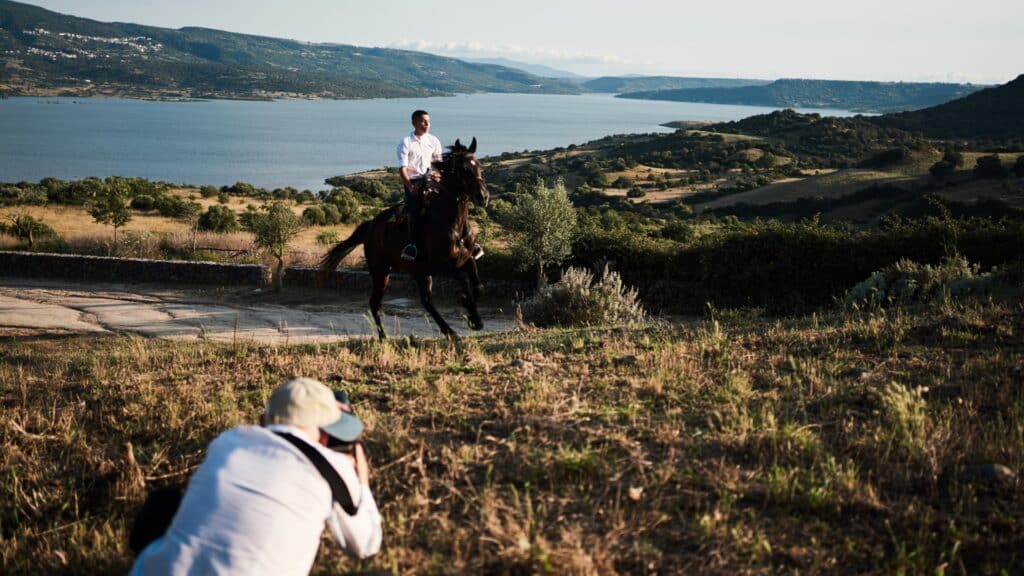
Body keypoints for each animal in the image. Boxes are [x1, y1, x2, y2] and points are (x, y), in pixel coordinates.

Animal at [321, 136, 493, 338]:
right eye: (463, 170)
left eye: (480, 168)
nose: (483, 197)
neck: (454, 225)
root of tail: (371, 225)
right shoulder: (444, 266)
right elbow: (465, 281)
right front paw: (469, 310)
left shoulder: (466, 259)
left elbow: (478, 286)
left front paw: (475, 319)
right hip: (381, 271)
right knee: (375, 303)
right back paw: (383, 338)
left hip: (420, 273)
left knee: (426, 301)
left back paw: (450, 332)